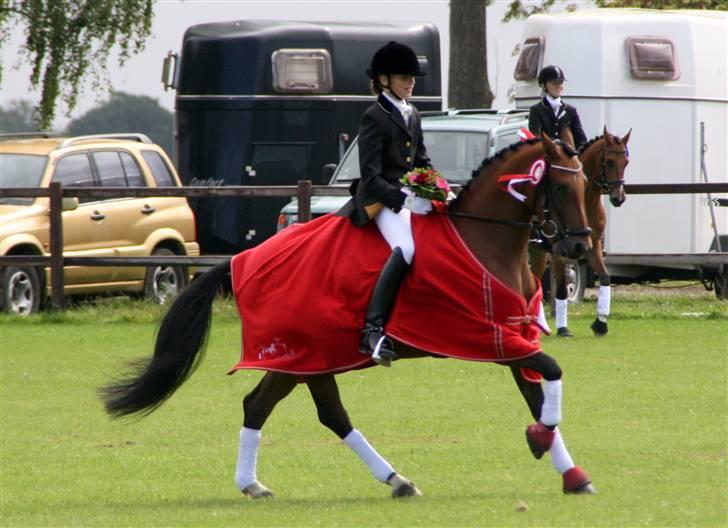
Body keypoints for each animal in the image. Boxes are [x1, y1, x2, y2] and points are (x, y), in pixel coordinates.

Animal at [99, 134, 597, 500]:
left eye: (582, 185)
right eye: (557, 187)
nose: (578, 246)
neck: (485, 241)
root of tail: (242, 260)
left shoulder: (514, 336)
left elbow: (539, 392)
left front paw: (571, 473)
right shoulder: (487, 336)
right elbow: (552, 373)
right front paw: (541, 442)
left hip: (312, 358)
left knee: (316, 412)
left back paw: (391, 480)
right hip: (299, 354)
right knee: (270, 406)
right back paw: (259, 484)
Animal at [531, 127, 631, 337]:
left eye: (626, 162)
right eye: (609, 161)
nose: (618, 198)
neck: (584, 202)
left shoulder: (593, 247)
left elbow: (605, 277)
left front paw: (601, 323)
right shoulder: (559, 251)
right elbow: (561, 289)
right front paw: (563, 328)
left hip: (536, 250)